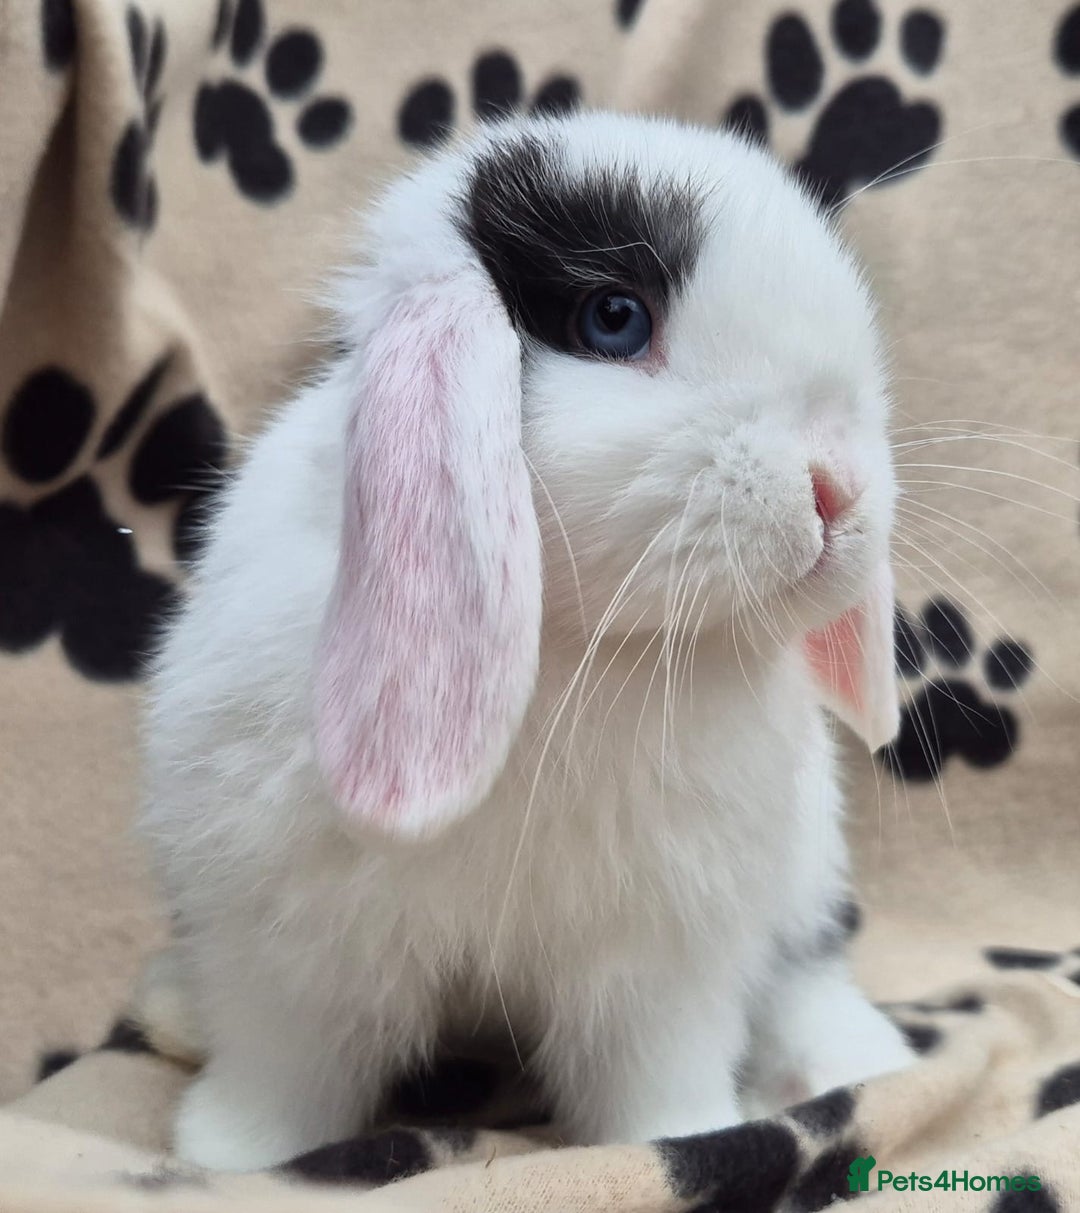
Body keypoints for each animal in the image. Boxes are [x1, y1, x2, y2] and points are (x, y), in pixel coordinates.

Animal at [139, 109, 913, 1173]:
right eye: (614, 319)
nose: (838, 485)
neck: (571, 643)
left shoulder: (661, 957)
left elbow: (650, 1069)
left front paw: (685, 1138)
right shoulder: (288, 943)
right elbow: (285, 1066)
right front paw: (223, 1156)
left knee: (805, 971)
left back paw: (858, 1064)